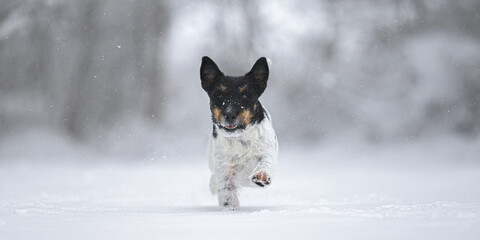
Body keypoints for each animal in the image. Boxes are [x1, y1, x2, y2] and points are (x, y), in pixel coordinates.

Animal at [201, 56, 280, 210]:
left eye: (245, 95)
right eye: (219, 94)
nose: (229, 115)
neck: (240, 138)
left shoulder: (266, 151)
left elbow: (265, 162)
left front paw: (261, 176)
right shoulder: (223, 167)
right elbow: (226, 191)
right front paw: (230, 209)